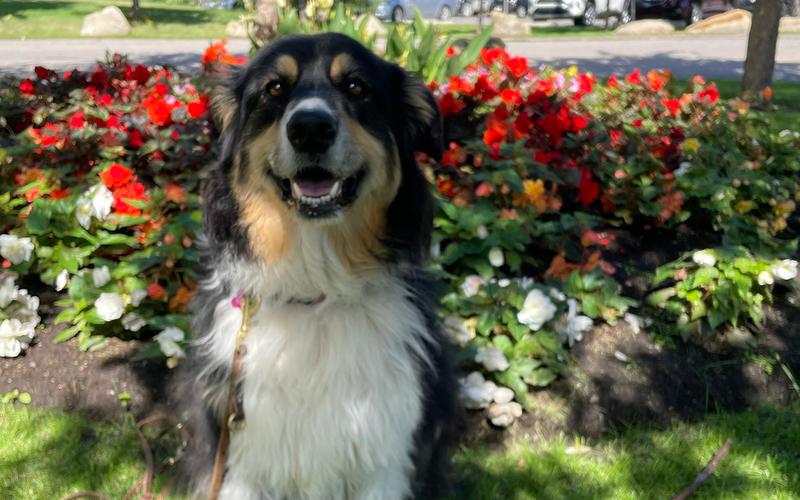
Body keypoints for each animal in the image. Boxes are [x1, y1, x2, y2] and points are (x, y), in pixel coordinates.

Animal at [178, 33, 460, 498]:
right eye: (275, 88)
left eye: (357, 87)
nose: (310, 128)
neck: (315, 289)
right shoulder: (240, 461)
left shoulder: (387, 459)